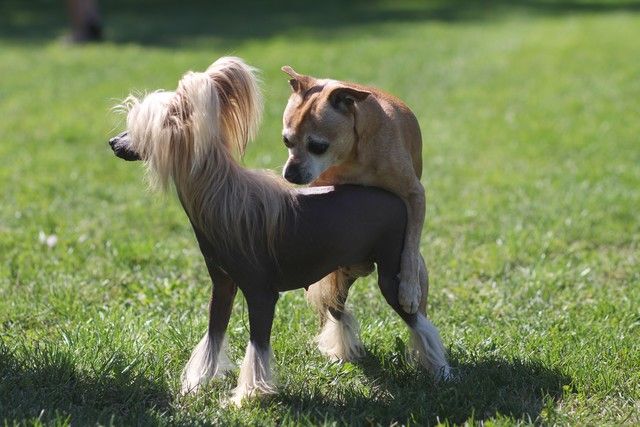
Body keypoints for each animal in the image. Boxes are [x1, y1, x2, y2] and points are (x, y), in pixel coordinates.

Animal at [109, 57, 450, 405]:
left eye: (140, 127)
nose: (113, 143)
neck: (220, 195)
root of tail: (392, 196)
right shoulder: (222, 286)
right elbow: (213, 337)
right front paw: (197, 383)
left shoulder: (261, 293)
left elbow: (257, 348)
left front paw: (249, 395)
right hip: (341, 272)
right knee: (337, 308)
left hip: (392, 274)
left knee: (419, 322)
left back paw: (440, 370)